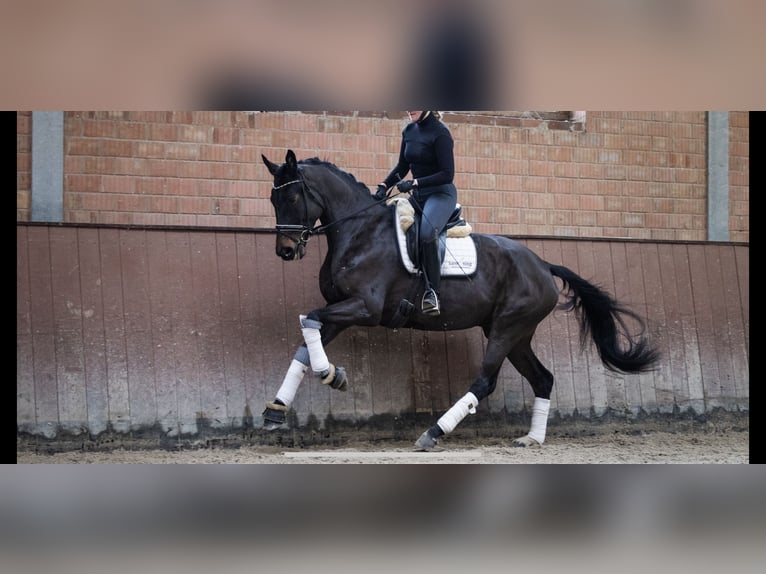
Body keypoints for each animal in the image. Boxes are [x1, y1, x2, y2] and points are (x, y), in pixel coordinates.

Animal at [260, 147, 660, 450]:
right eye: (272, 197)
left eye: (292, 196)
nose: (284, 251)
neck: (360, 232)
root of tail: (542, 264)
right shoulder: (343, 309)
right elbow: (307, 337)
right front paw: (279, 407)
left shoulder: (365, 308)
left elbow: (309, 319)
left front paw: (331, 375)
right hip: (516, 334)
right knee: (543, 379)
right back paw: (531, 438)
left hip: (507, 328)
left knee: (485, 381)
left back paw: (433, 432)